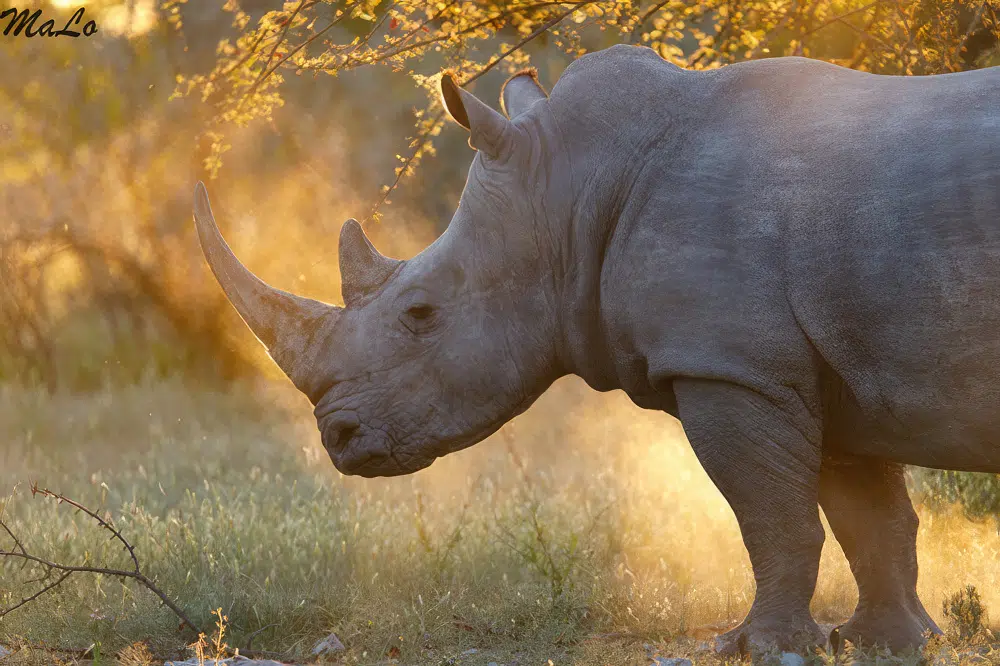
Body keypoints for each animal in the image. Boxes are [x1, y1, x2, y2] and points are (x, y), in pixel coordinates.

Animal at [193, 44, 1000, 656]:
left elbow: (774, 515)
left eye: (420, 315)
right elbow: (870, 515)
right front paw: (889, 642)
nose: (339, 438)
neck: (568, 194)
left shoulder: (729, 364)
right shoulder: (817, 357)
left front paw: (755, 647)